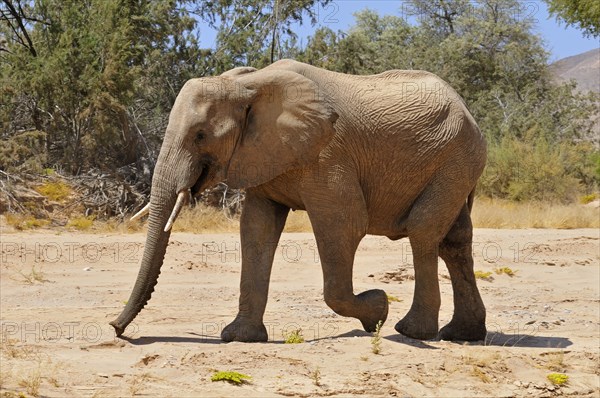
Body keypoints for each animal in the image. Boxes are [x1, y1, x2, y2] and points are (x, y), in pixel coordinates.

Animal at [110, 58, 488, 342]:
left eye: (200, 135)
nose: (116, 328)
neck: (248, 85)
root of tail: (466, 107)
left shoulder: (328, 153)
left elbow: (343, 224)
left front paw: (377, 310)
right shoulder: (264, 154)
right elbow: (257, 229)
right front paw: (240, 337)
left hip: (457, 157)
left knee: (423, 230)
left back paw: (411, 332)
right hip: (457, 163)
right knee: (454, 240)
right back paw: (462, 334)